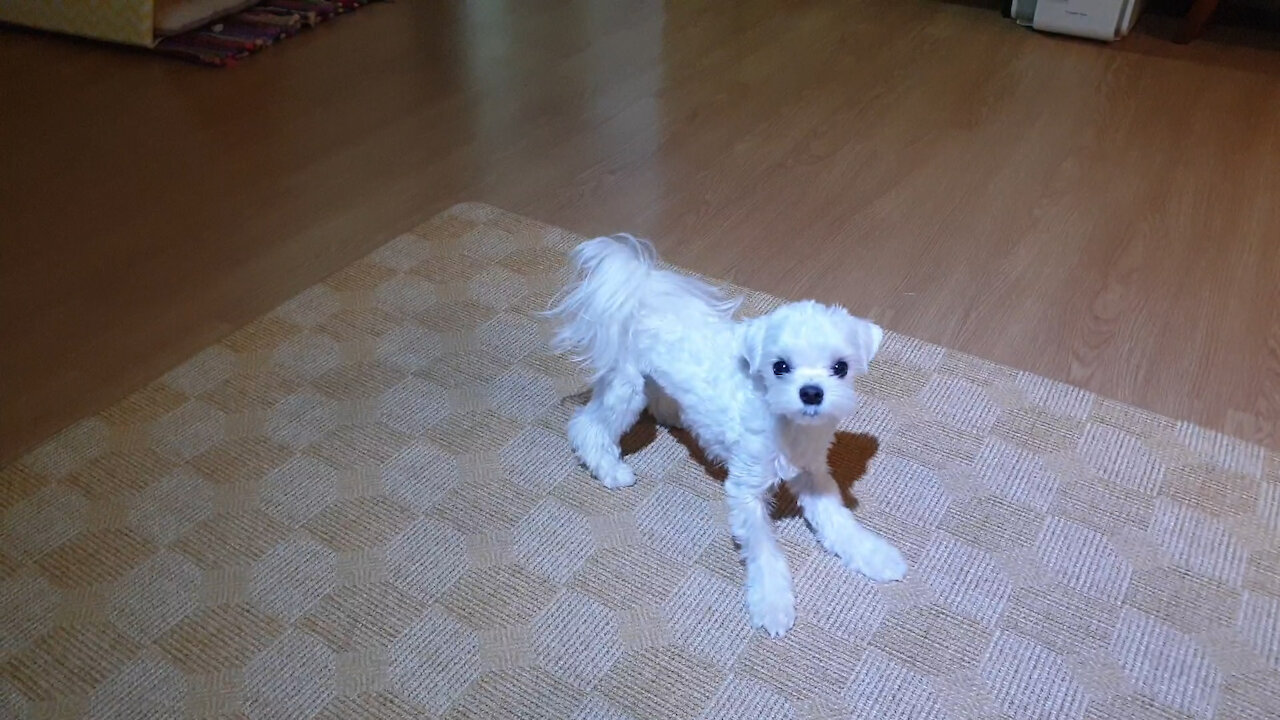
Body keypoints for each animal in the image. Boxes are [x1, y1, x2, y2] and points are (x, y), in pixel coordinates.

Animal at [545, 233, 906, 630]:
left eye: (840, 367)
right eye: (780, 367)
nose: (811, 392)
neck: (786, 423)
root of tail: (642, 292)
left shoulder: (813, 474)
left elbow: (838, 521)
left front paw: (873, 555)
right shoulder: (746, 489)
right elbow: (764, 550)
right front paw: (772, 603)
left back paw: (671, 412)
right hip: (626, 386)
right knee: (587, 425)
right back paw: (609, 468)